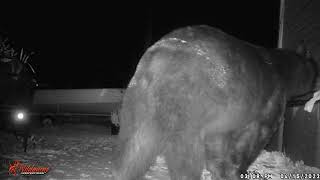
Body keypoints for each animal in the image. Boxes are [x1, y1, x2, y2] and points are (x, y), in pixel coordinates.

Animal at [112, 25, 318, 180]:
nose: (317, 83)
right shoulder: (269, 101)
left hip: (137, 104)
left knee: (134, 148)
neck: (284, 71)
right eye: (316, 70)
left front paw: (221, 170)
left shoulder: (224, 114)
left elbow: (218, 143)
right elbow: (255, 136)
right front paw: (239, 170)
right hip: (186, 105)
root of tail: (156, 60)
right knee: (184, 153)